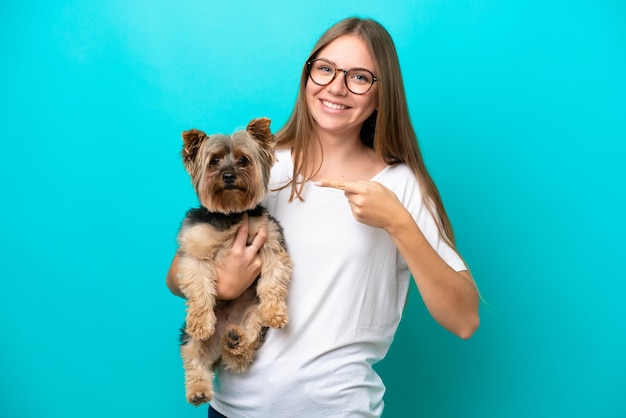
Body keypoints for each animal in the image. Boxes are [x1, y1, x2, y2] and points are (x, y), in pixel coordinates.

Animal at [176, 116, 290, 404]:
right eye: (214, 161)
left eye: (243, 160)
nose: (228, 176)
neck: (231, 213)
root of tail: (217, 351)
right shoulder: (194, 250)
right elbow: (199, 288)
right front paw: (201, 322)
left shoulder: (271, 241)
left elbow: (273, 280)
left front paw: (276, 311)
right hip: (189, 339)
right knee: (194, 358)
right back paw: (198, 388)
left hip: (252, 314)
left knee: (244, 349)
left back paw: (235, 340)